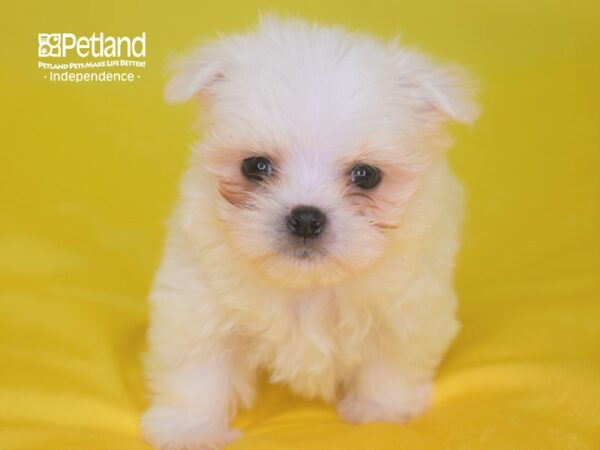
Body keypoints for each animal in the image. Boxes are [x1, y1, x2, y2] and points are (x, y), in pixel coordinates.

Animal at [141, 15, 478, 450]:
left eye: (367, 175)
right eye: (255, 166)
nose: (305, 218)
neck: (307, 285)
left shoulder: (409, 307)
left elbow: (391, 363)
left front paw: (380, 412)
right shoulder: (197, 300)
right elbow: (197, 370)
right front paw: (190, 430)